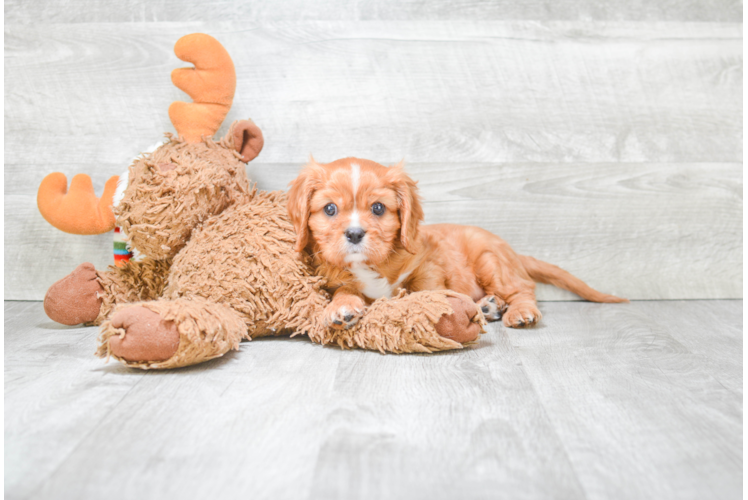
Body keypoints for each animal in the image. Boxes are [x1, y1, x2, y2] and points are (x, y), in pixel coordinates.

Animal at [286, 156, 624, 328]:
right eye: (330, 209)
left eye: (378, 208)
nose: (355, 234)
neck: (373, 263)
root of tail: (513, 252)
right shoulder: (335, 278)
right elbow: (345, 290)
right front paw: (341, 308)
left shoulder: (427, 263)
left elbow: (426, 289)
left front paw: (425, 304)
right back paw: (488, 306)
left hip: (491, 260)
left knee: (524, 289)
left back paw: (517, 312)